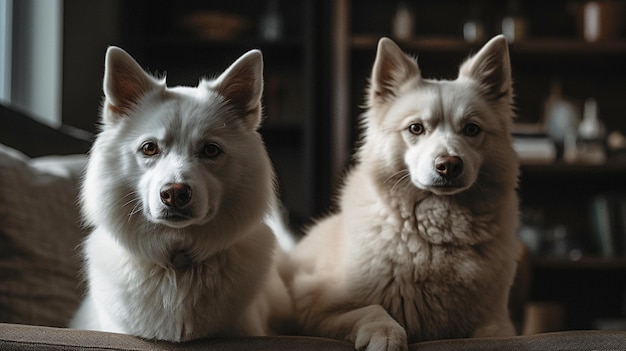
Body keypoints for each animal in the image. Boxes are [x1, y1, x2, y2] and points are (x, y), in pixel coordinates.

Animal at [282, 36, 516, 351]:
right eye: (415, 128)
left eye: (471, 129)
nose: (449, 165)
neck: (436, 237)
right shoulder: (315, 310)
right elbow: (372, 309)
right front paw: (386, 334)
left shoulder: (497, 320)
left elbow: (495, 334)